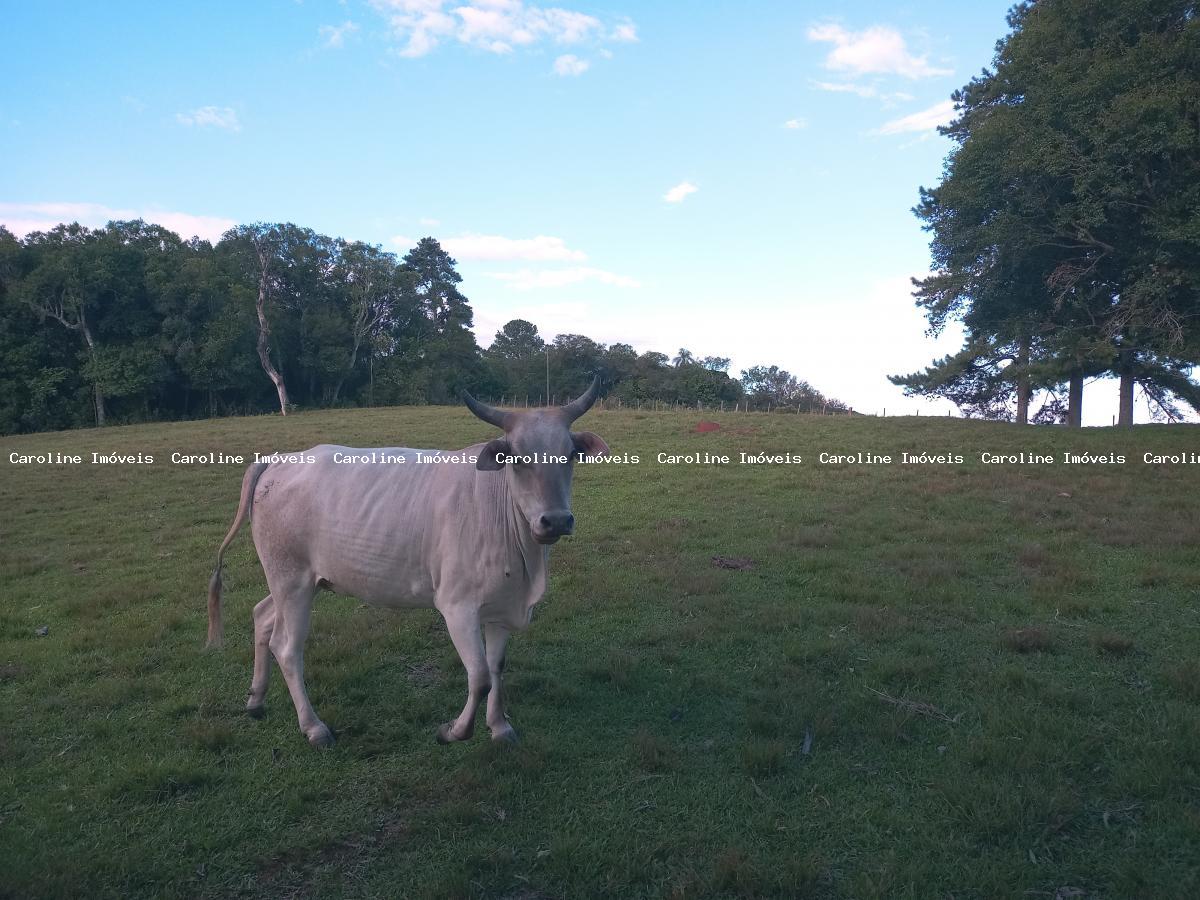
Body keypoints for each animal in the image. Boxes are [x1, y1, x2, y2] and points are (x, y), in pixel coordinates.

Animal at [205, 379, 609, 748]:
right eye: (519, 458)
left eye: (569, 455)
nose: (555, 521)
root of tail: (279, 460)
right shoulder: (457, 606)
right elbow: (479, 677)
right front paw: (454, 730)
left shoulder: (501, 605)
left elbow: (496, 669)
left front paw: (500, 727)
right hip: (291, 580)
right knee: (287, 648)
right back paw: (314, 727)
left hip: (297, 581)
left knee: (262, 617)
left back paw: (256, 700)